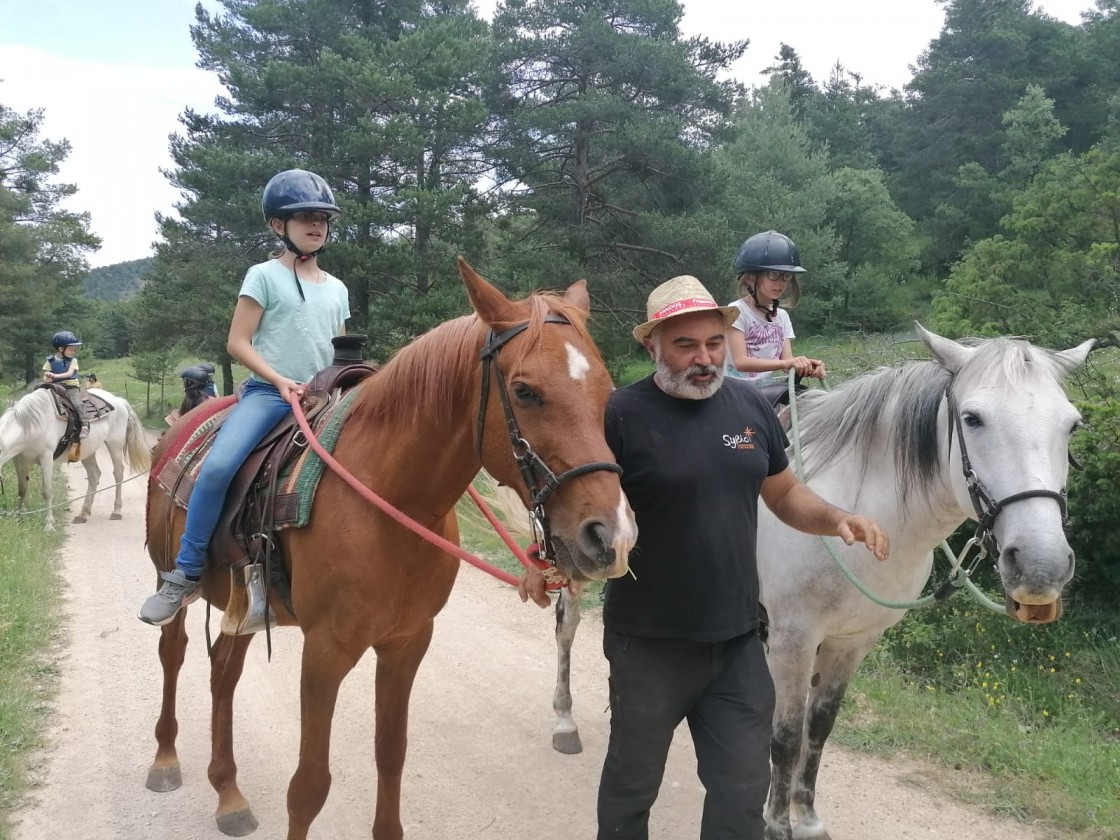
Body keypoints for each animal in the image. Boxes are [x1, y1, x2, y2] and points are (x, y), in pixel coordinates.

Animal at [0, 387, 151, 528]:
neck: (30, 425)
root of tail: (119, 401)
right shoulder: (20, 461)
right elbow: (22, 490)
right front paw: (20, 518)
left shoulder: (46, 457)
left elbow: (47, 491)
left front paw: (49, 523)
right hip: (88, 451)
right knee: (94, 476)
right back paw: (83, 514)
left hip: (115, 445)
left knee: (118, 473)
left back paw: (116, 511)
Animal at [143, 256, 636, 840]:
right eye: (525, 391)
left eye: (605, 389)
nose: (611, 535)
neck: (391, 500)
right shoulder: (325, 651)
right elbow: (308, 785)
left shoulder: (407, 642)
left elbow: (391, 752)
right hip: (170, 577)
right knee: (174, 653)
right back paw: (165, 761)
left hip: (242, 605)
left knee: (224, 670)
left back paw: (229, 795)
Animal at [537, 324, 1088, 837]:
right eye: (973, 418)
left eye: (1072, 425)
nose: (1041, 565)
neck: (863, 506)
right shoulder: (793, 638)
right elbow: (785, 737)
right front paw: (777, 824)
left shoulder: (853, 642)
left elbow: (819, 730)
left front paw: (807, 817)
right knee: (566, 628)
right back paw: (563, 721)